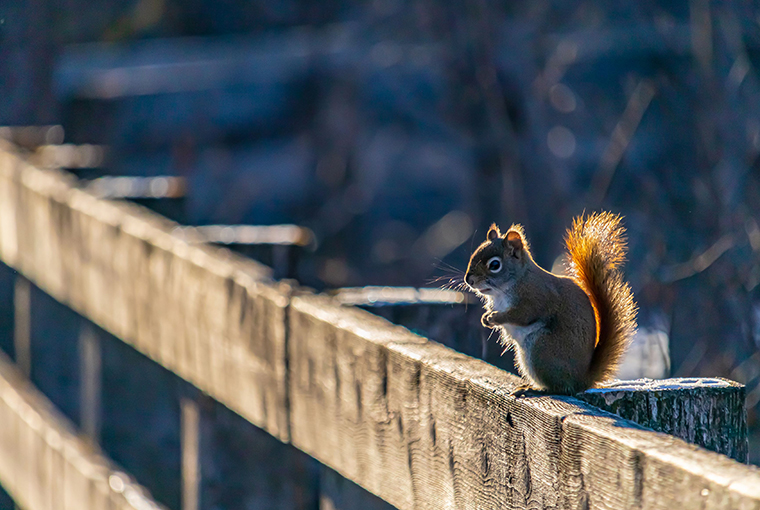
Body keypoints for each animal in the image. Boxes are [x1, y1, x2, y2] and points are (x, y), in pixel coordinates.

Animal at [466, 211, 640, 394]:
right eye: (474, 255)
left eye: (494, 265)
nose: (468, 279)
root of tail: (581, 380)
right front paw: (485, 318)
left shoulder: (535, 298)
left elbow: (521, 315)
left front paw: (494, 318)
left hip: (541, 349)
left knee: (559, 388)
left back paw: (535, 390)